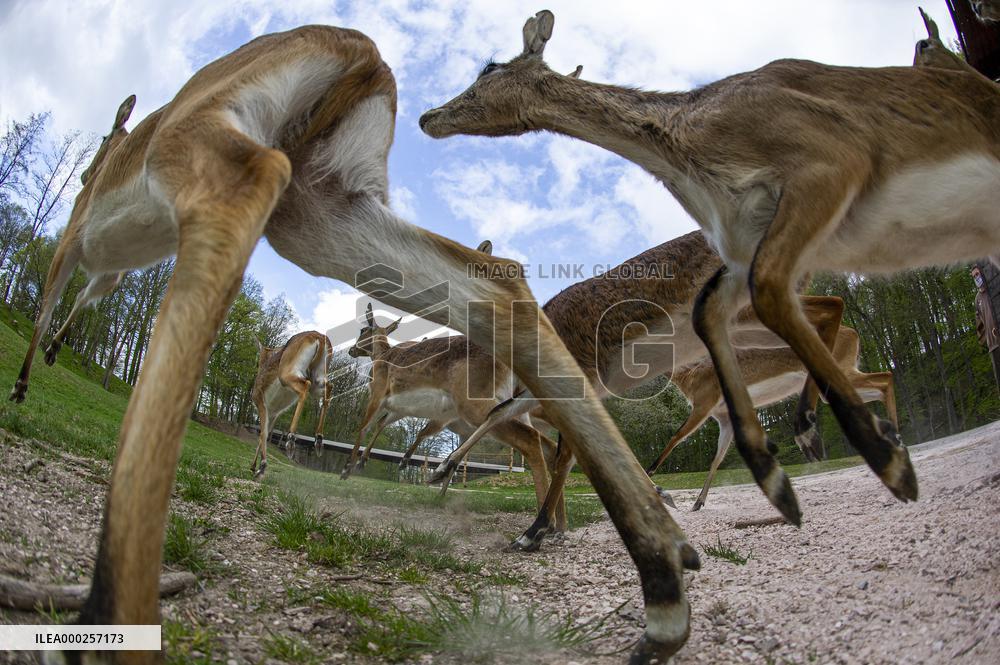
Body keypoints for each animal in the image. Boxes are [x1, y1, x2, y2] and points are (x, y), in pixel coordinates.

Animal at [250, 330, 332, 478]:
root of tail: (318, 336)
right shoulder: (274, 413)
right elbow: (265, 434)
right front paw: (254, 467)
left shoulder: (261, 404)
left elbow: (262, 433)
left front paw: (261, 467)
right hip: (317, 379)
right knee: (329, 387)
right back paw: (318, 440)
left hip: (288, 376)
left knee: (305, 386)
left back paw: (291, 440)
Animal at [342, 302, 565, 526]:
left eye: (362, 330)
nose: (352, 350)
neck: (383, 357)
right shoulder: (398, 408)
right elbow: (382, 424)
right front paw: (365, 462)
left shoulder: (378, 394)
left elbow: (364, 427)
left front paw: (347, 470)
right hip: (514, 409)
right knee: (549, 445)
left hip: (475, 405)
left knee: (530, 438)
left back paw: (542, 526)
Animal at [647, 326, 897, 511]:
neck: (690, 375)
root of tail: (853, 332)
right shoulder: (724, 418)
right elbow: (717, 459)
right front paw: (697, 503)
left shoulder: (703, 406)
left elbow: (675, 438)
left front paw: (657, 483)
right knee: (881, 385)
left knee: (886, 377)